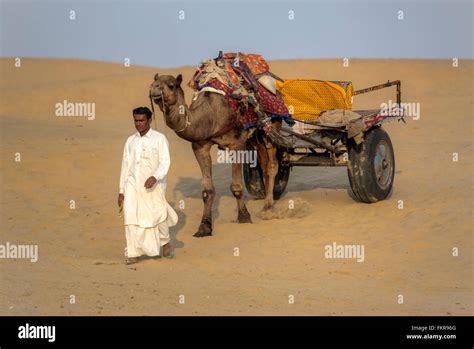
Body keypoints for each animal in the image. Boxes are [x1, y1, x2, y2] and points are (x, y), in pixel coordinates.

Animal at [150, 73, 280, 237]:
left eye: (171, 85)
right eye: (154, 82)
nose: (153, 89)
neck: (211, 116)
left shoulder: (237, 144)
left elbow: (237, 186)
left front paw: (244, 217)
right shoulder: (200, 146)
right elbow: (207, 190)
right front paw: (204, 227)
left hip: (271, 127)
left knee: (272, 164)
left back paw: (269, 208)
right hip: (255, 137)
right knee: (264, 163)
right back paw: (266, 204)